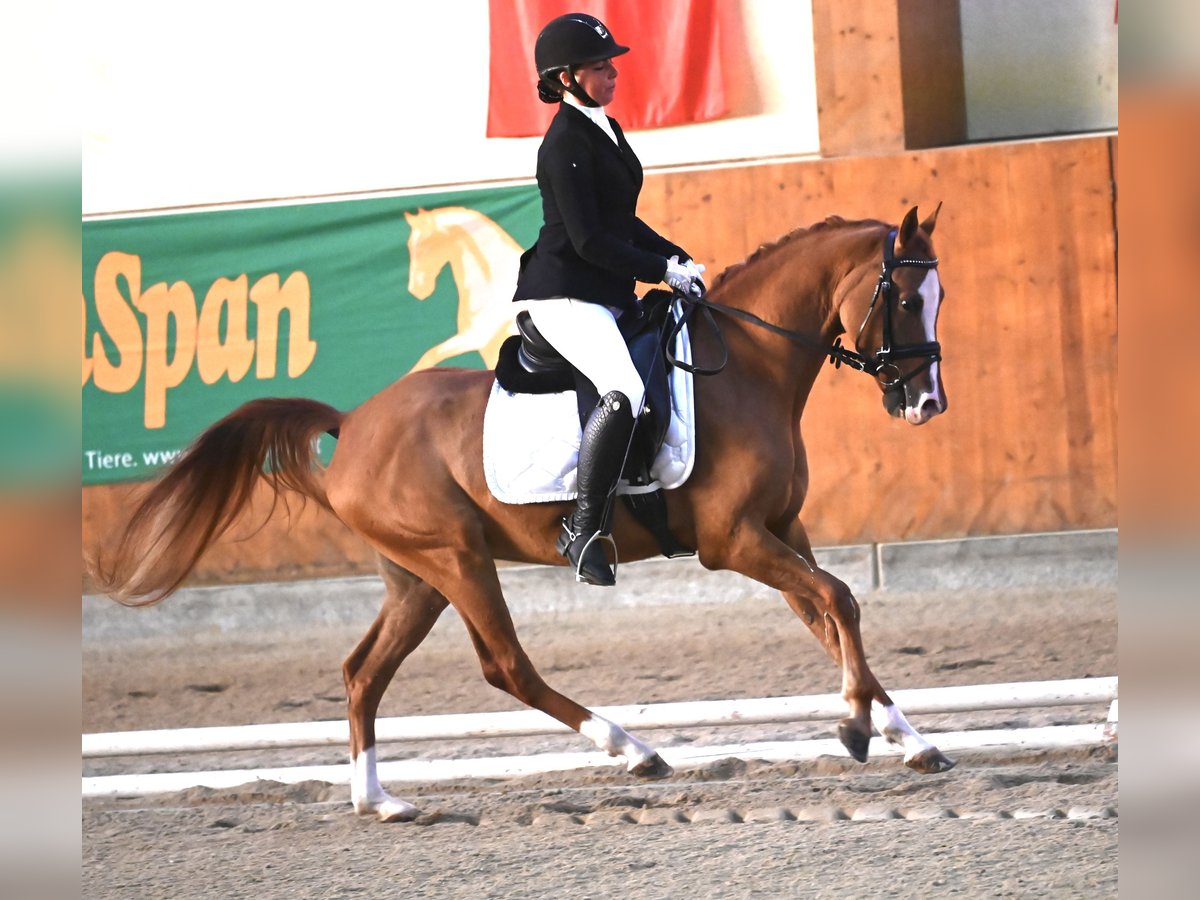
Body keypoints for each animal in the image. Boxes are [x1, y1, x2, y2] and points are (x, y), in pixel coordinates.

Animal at [403, 206, 520, 372]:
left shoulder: (474, 338)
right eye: (409, 245)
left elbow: (430, 355)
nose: (416, 289)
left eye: (424, 246)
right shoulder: (488, 349)